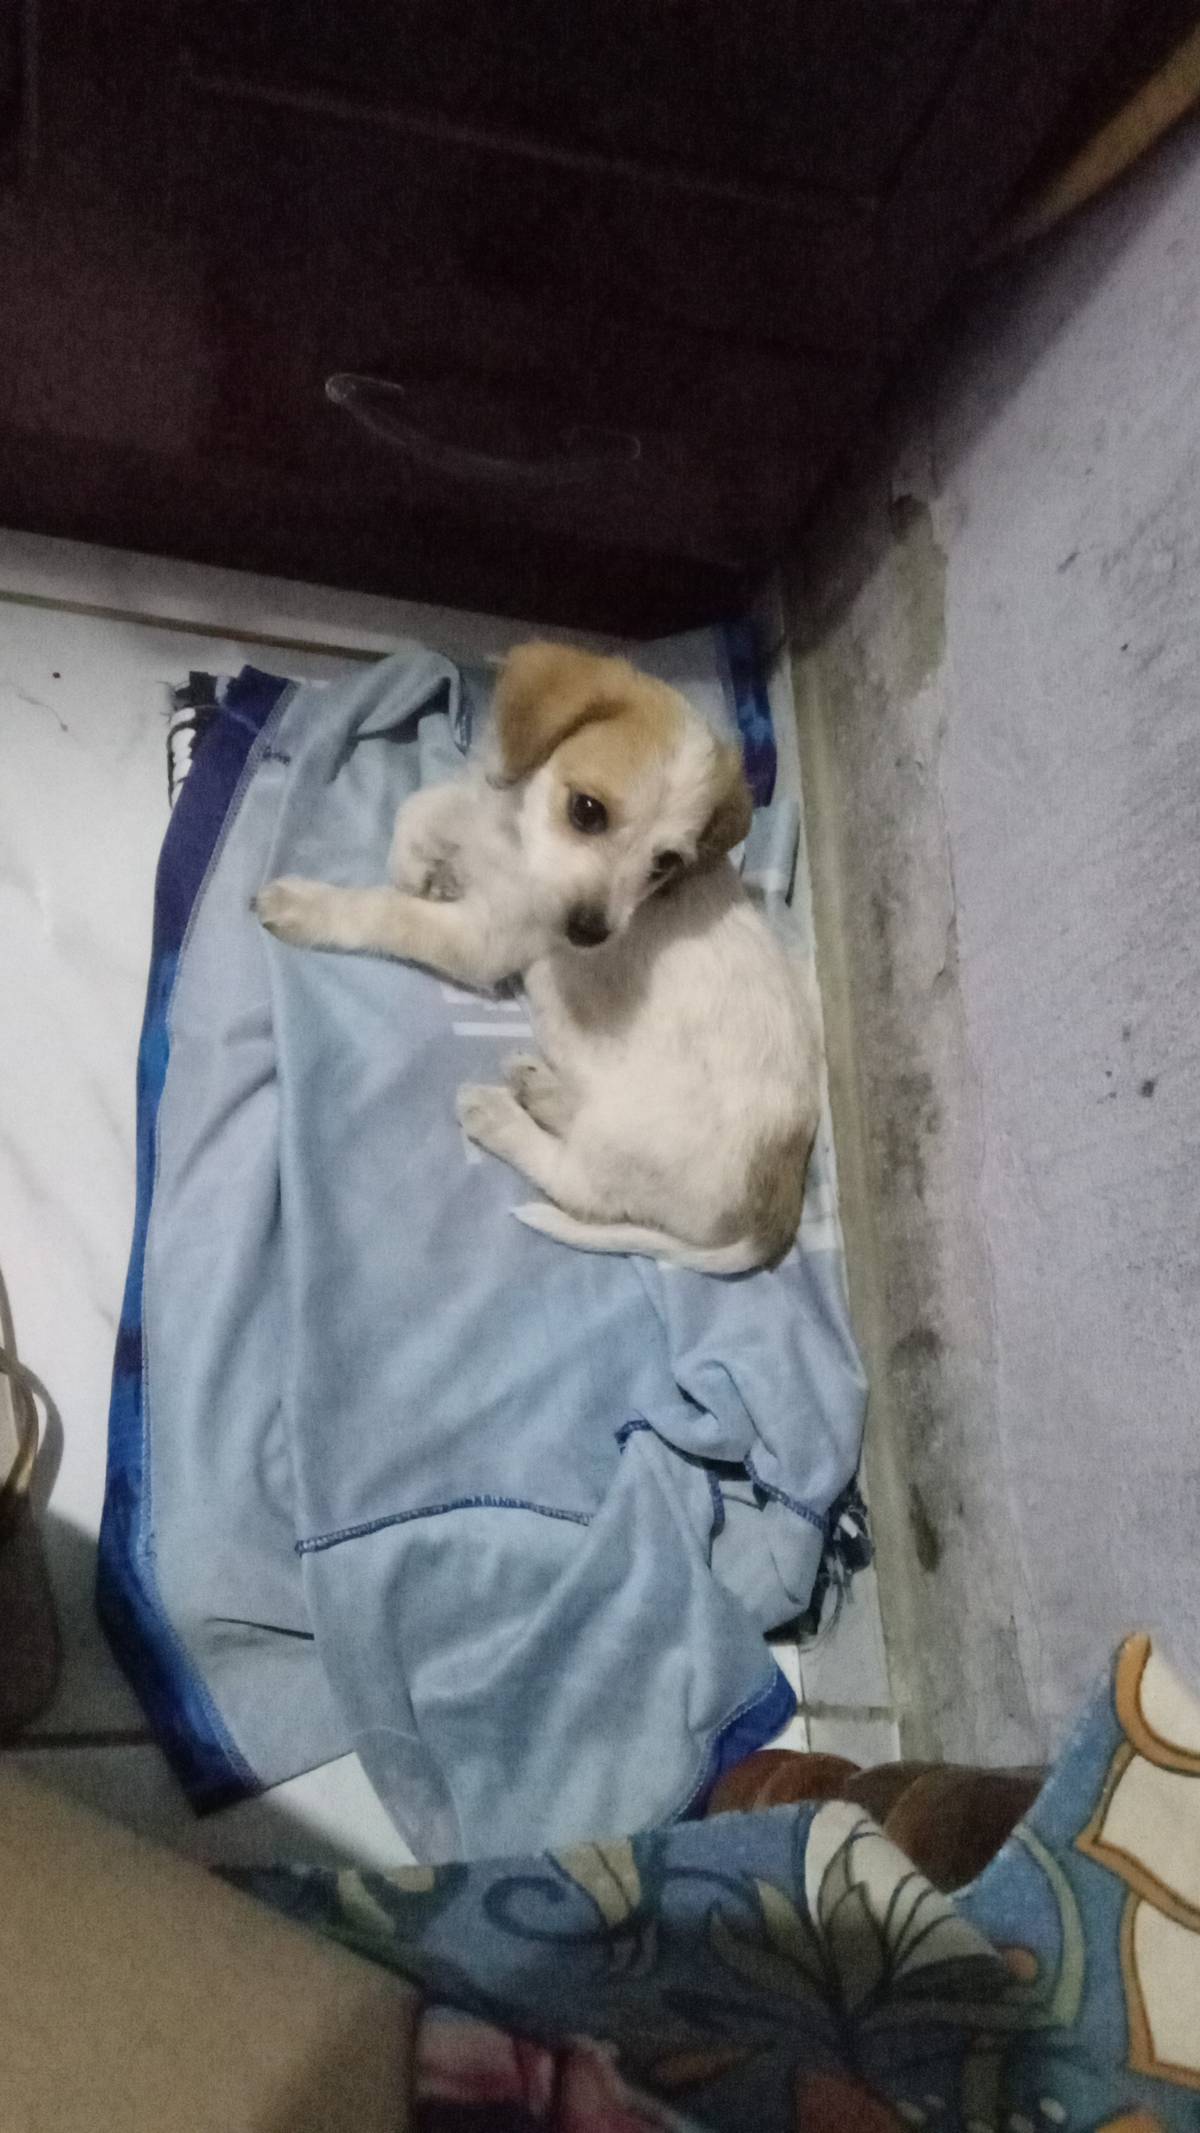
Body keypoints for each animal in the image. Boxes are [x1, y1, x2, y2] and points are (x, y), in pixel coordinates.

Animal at [256, 643, 820, 1273]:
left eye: (665, 864)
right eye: (587, 811)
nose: (590, 933)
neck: (512, 839)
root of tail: (773, 1211)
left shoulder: (482, 940)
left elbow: (384, 911)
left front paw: (307, 906)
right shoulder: (473, 810)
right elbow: (420, 806)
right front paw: (419, 868)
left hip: (625, 1140)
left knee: (575, 1184)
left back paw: (500, 1117)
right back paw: (540, 1089)